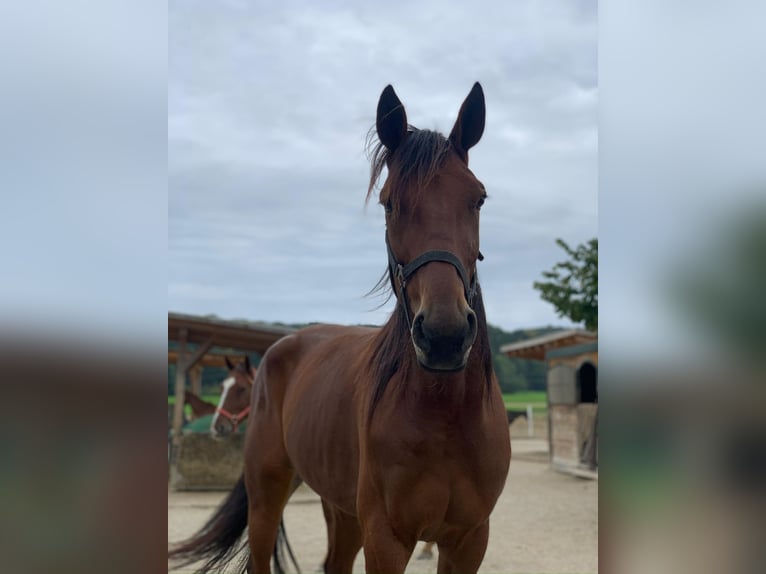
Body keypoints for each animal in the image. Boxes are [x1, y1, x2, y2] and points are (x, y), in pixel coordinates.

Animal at [169, 82, 512, 574]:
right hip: (268, 494)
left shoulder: (468, 540)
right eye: (389, 202)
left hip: (339, 504)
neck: (446, 415)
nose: (444, 336)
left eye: (478, 198)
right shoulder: (385, 539)